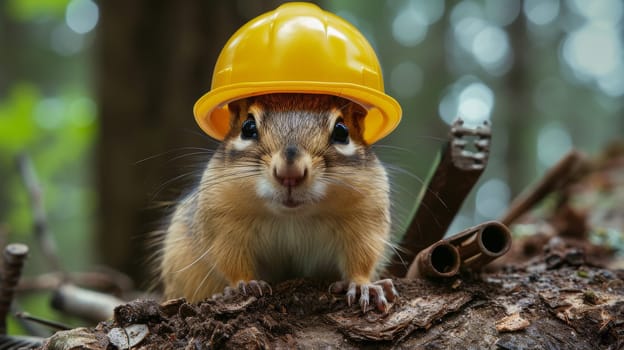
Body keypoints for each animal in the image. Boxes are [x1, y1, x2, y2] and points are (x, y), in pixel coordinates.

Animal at [158, 93, 398, 312]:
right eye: (247, 127)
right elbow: (230, 259)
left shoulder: (365, 219)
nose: (289, 174)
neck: (293, 216)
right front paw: (245, 283)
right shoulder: (223, 222)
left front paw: (362, 285)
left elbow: (361, 258)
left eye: (342, 131)